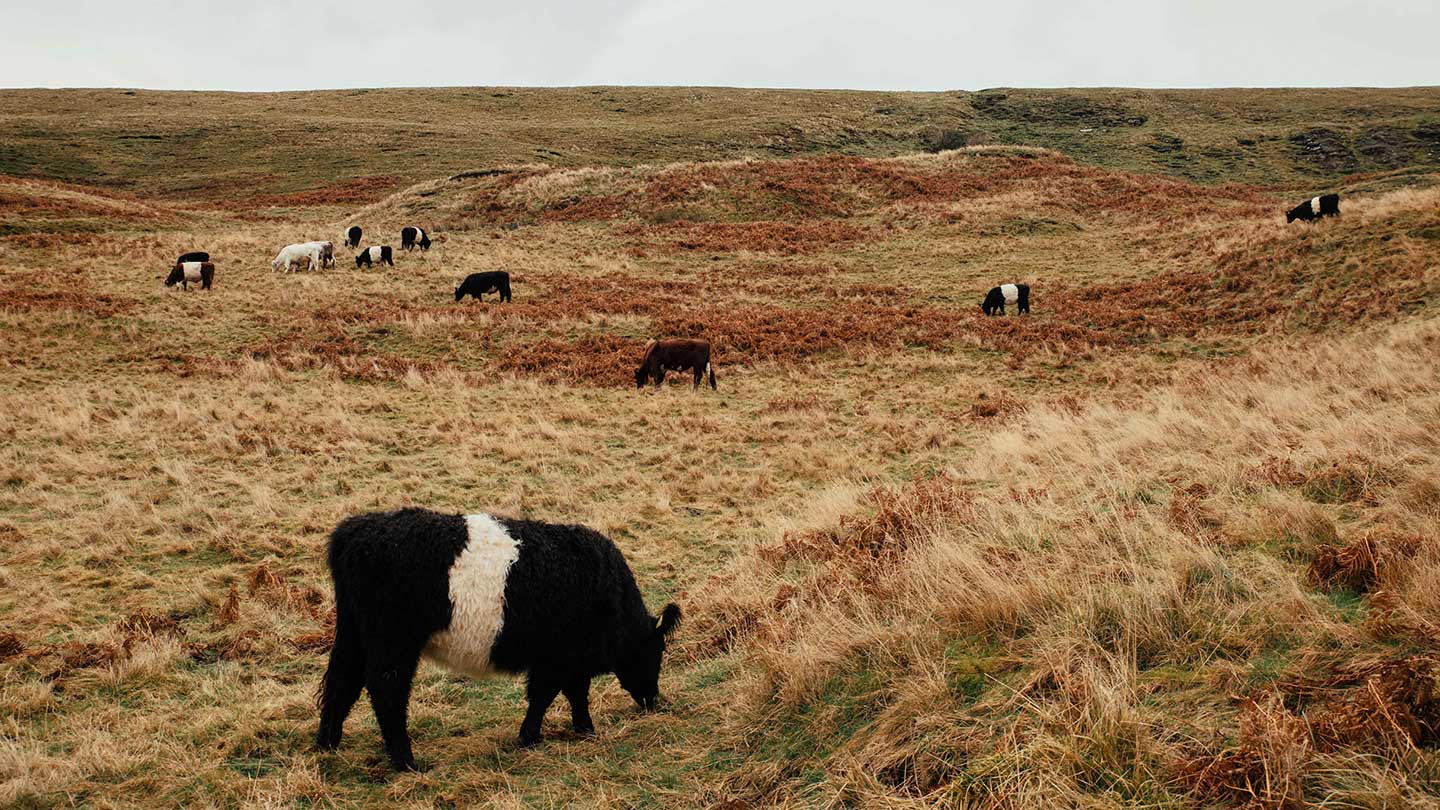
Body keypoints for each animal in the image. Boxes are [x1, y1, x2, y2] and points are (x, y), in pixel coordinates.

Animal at [314, 508, 682, 772]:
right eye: (656, 654)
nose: (652, 699)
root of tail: (357, 529)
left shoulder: (568, 659)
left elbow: (574, 693)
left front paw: (583, 729)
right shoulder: (557, 658)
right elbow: (546, 696)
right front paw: (531, 737)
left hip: (354, 635)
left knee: (341, 682)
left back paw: (326, 745)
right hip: (393, 643)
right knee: (387, 692)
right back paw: (406, 762)